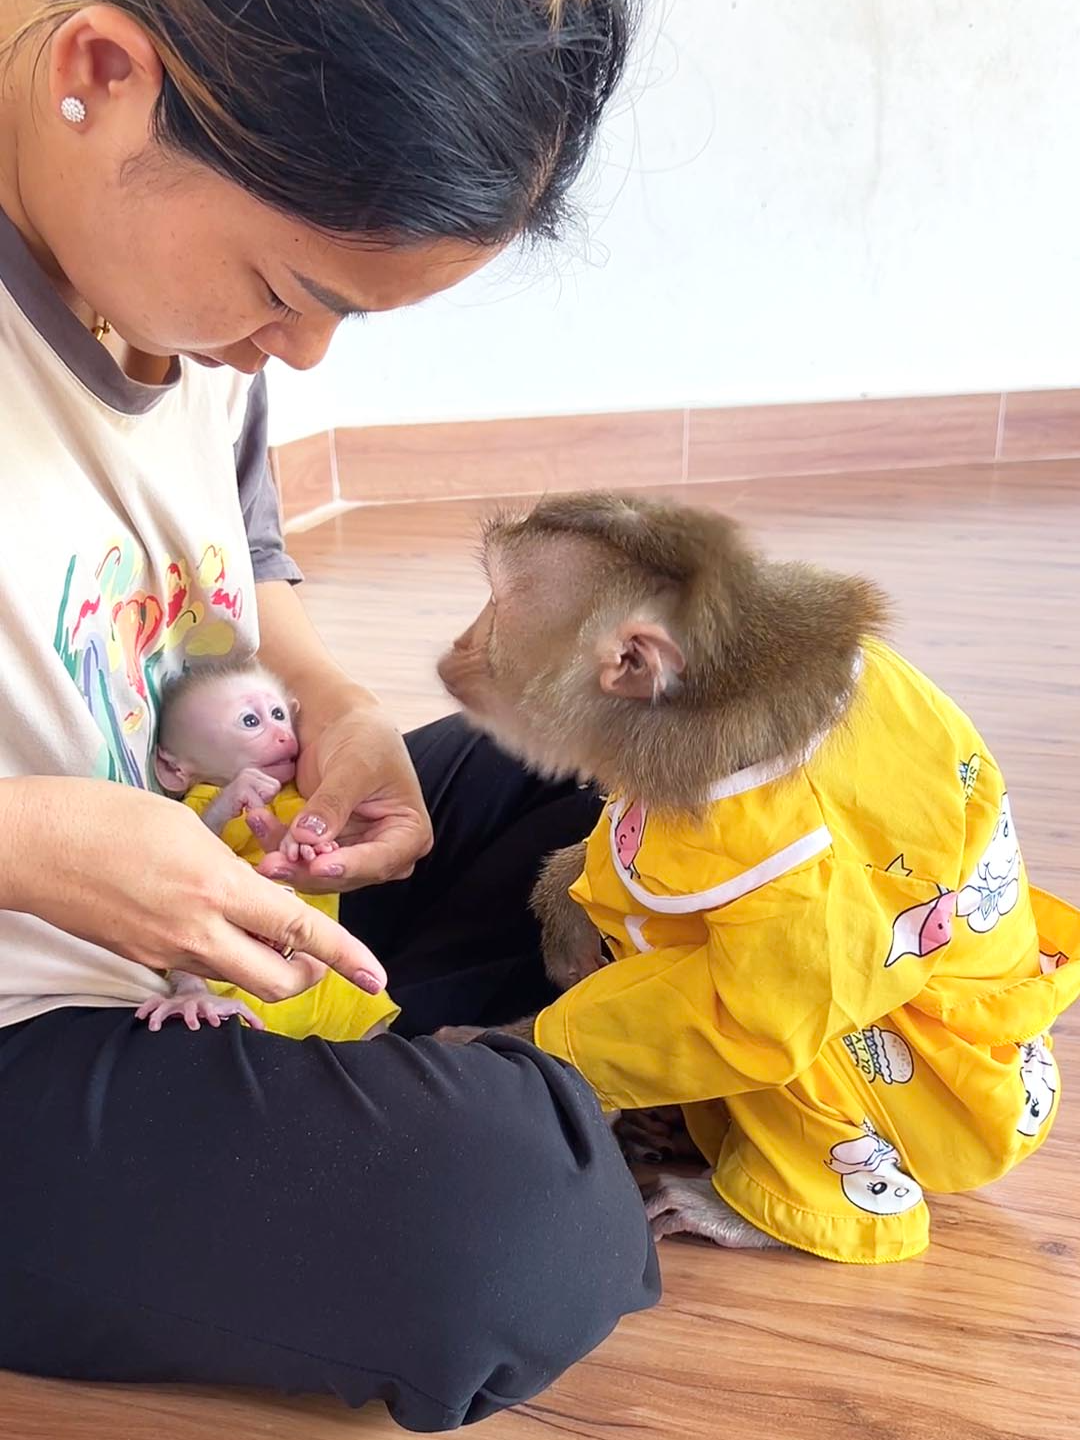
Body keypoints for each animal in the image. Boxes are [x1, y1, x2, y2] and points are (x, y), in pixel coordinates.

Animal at [434, 492, 1077, 1261]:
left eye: (495, 607)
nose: (456, 644)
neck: (715, 692)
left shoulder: (819, 869)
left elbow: (757, 1019)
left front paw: (523, 1038)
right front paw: (563, 901)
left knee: (812, 1043)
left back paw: (751, 1214)